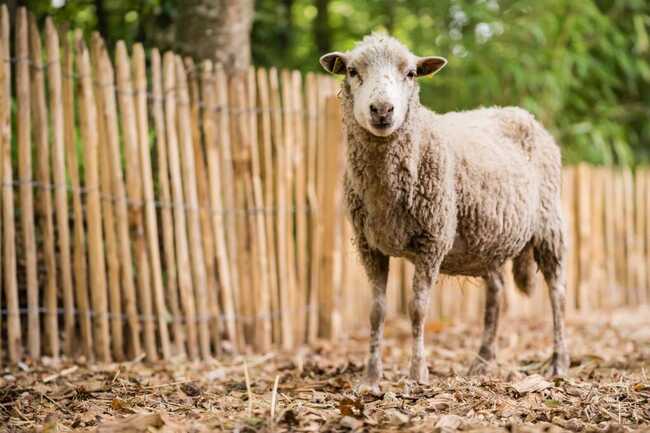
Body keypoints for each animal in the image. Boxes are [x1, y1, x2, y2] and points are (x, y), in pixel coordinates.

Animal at [318, 34, 568, 392]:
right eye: (352, 71)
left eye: (410, 73)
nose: (382, 109)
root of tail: (520, 113)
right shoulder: (369, 245)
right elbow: (376, 311)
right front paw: (370, 378)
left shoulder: (432, 239)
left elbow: (418, 309)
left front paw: (417, 374)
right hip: (487, 239)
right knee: (496, 295)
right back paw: (482, 362)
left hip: (549, 224)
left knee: (557, 294)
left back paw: (559, 362)